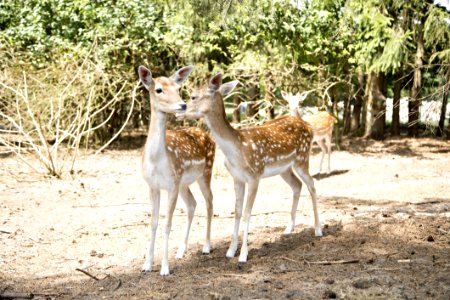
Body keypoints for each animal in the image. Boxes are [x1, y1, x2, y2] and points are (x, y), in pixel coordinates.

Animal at [136, 64, 215, 276]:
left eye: (178, 88)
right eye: (158, 89)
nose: (182, 105)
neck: (157, 161)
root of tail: (206, 134)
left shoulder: (171, 184)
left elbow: (167, 223)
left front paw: (164, 268)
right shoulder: (152, 186)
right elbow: (153, 222)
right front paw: (146, 265)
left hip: (205, 172)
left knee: (210, 201)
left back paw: (206, 246)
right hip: (183, 183)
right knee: (192, 204)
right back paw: (181, 250)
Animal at [179, 73, 324, 262]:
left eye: (193, 96)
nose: (179, 110)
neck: (237, 149)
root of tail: (307, 124)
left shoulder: (255, 175)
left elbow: (248, 212)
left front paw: (243, 254)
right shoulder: (237, 177)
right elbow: (237, 211)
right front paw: (230, 250)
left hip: (303, 158)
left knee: (312, 184)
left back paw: (318, 229)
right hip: (285, 169)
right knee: (297, 185)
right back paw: (288, 229)